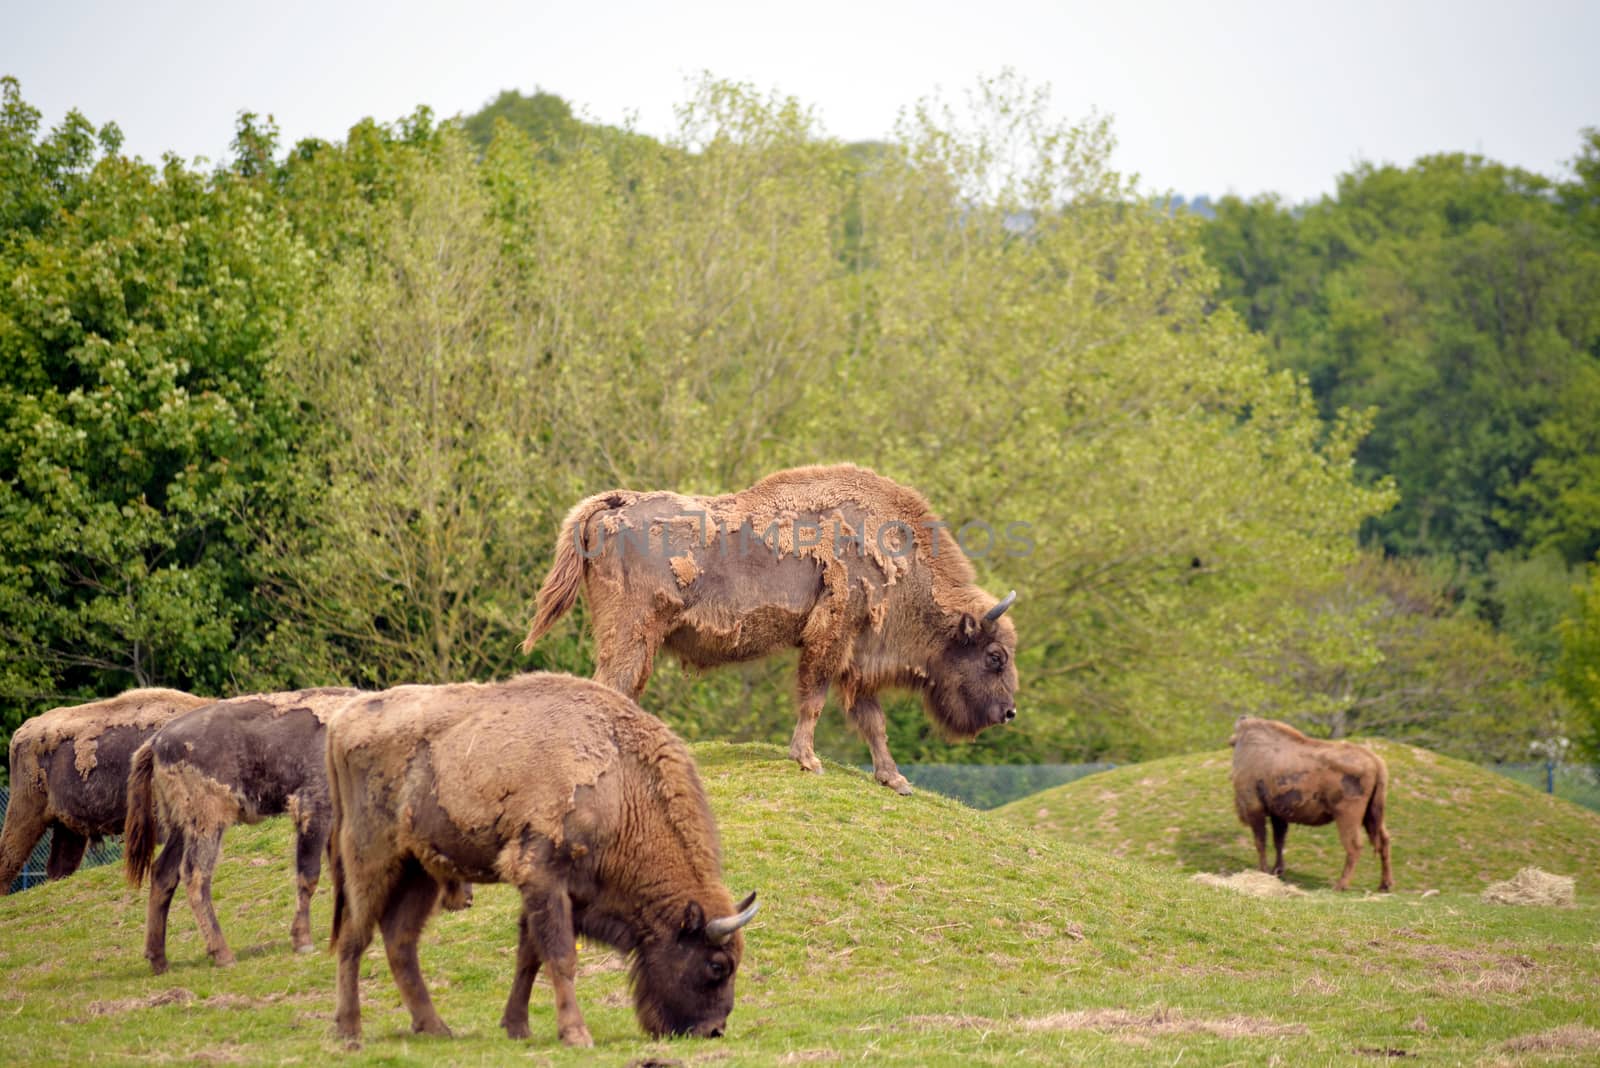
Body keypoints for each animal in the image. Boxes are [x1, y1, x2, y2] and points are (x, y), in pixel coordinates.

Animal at [123, 687, 366, 972]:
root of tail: (156, 741)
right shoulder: (314, 811)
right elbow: (309, 875)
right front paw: (303, 941)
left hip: (182, 828)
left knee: (164, 873)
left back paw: (159, 960)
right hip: (207, 823)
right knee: (195, 875)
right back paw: (223, 955)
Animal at [326, 671, 761, 1048]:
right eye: (717, 966)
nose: (713, 1031)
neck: (620, 787)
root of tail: (341, 722)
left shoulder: (567, 893)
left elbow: (529, 955)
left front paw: (517, 1028)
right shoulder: (543, 877)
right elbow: (561, 956)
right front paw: (576, 1035)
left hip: (418, 870)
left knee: (400, 940)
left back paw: (435, 1027)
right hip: (371, 859)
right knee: (354, 937)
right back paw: (349, 1032)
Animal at [524, 463, 1024, 796]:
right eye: (994, 656)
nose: (1008, 712)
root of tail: (612, 505)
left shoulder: (857, 656)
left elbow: (872, 721)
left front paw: (894, 779)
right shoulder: (831, 638)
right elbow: (815, 698)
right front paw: (808, 760)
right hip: (631, 634)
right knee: (611, 689)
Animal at [1228, 716, 1395, 895]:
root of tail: (1374, 761)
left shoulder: (1255, 809)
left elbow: (1261, 842)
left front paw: (1264, 870)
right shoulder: (1278, 815)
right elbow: (1278, 841)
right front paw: (1277, 871)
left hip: (1348, 817)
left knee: (1354, 846)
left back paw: (1340, 885)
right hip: (1372, 815)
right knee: (1384, 841)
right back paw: (1384, 885)